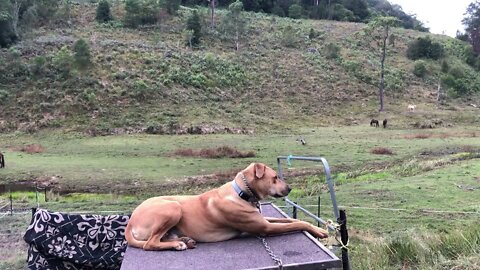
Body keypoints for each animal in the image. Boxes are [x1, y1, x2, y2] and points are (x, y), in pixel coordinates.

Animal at [124, 162, 330, 251]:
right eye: (275, 177)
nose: (290, 188)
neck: (242, 194)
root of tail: (130, 222)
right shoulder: (264, 227)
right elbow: (296, 224)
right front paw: (319, 231)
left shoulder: (262, 219)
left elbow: (292, 220)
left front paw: (316, 227)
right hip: (173, 207)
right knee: (150, 244)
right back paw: (178, 244)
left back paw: (185, 240)